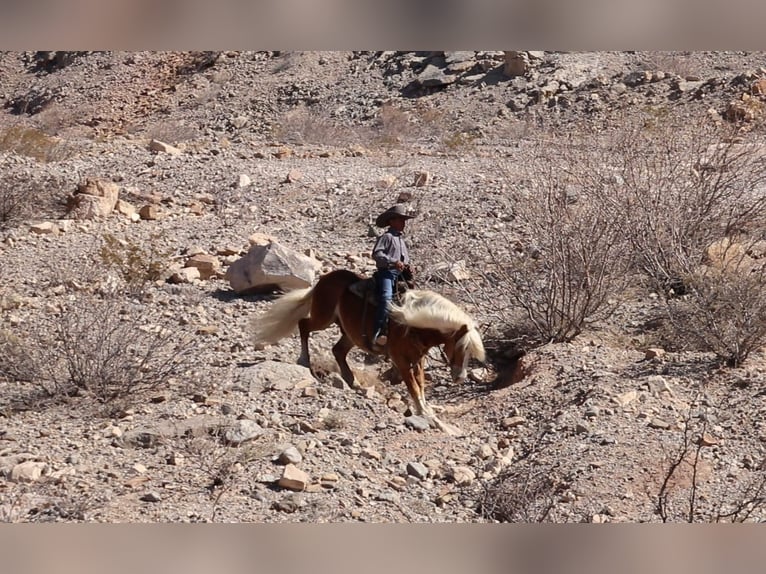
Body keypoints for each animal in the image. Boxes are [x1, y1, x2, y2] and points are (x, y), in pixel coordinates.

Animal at [255, 270, 488, 436]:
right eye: (460, 347)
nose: (460, 378)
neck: (412, 324)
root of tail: (323, 280)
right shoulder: (401, 361)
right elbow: (413, 388)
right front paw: (426, 414)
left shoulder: (417, 360)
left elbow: (420, 386)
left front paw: (430, 413)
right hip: (324, 317)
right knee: (304, 325)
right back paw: (304, 360)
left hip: (349, 333)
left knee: (338, 350)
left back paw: (351, 381)